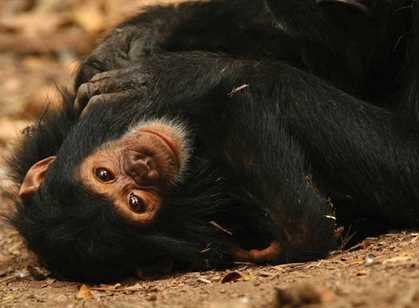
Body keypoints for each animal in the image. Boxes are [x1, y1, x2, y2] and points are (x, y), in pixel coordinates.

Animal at [5, 0, 419, 282]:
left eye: (103, 174)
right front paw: (193, 75)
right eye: (137, 202)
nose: (143, 165)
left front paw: (145, 43)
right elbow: (306, 227)